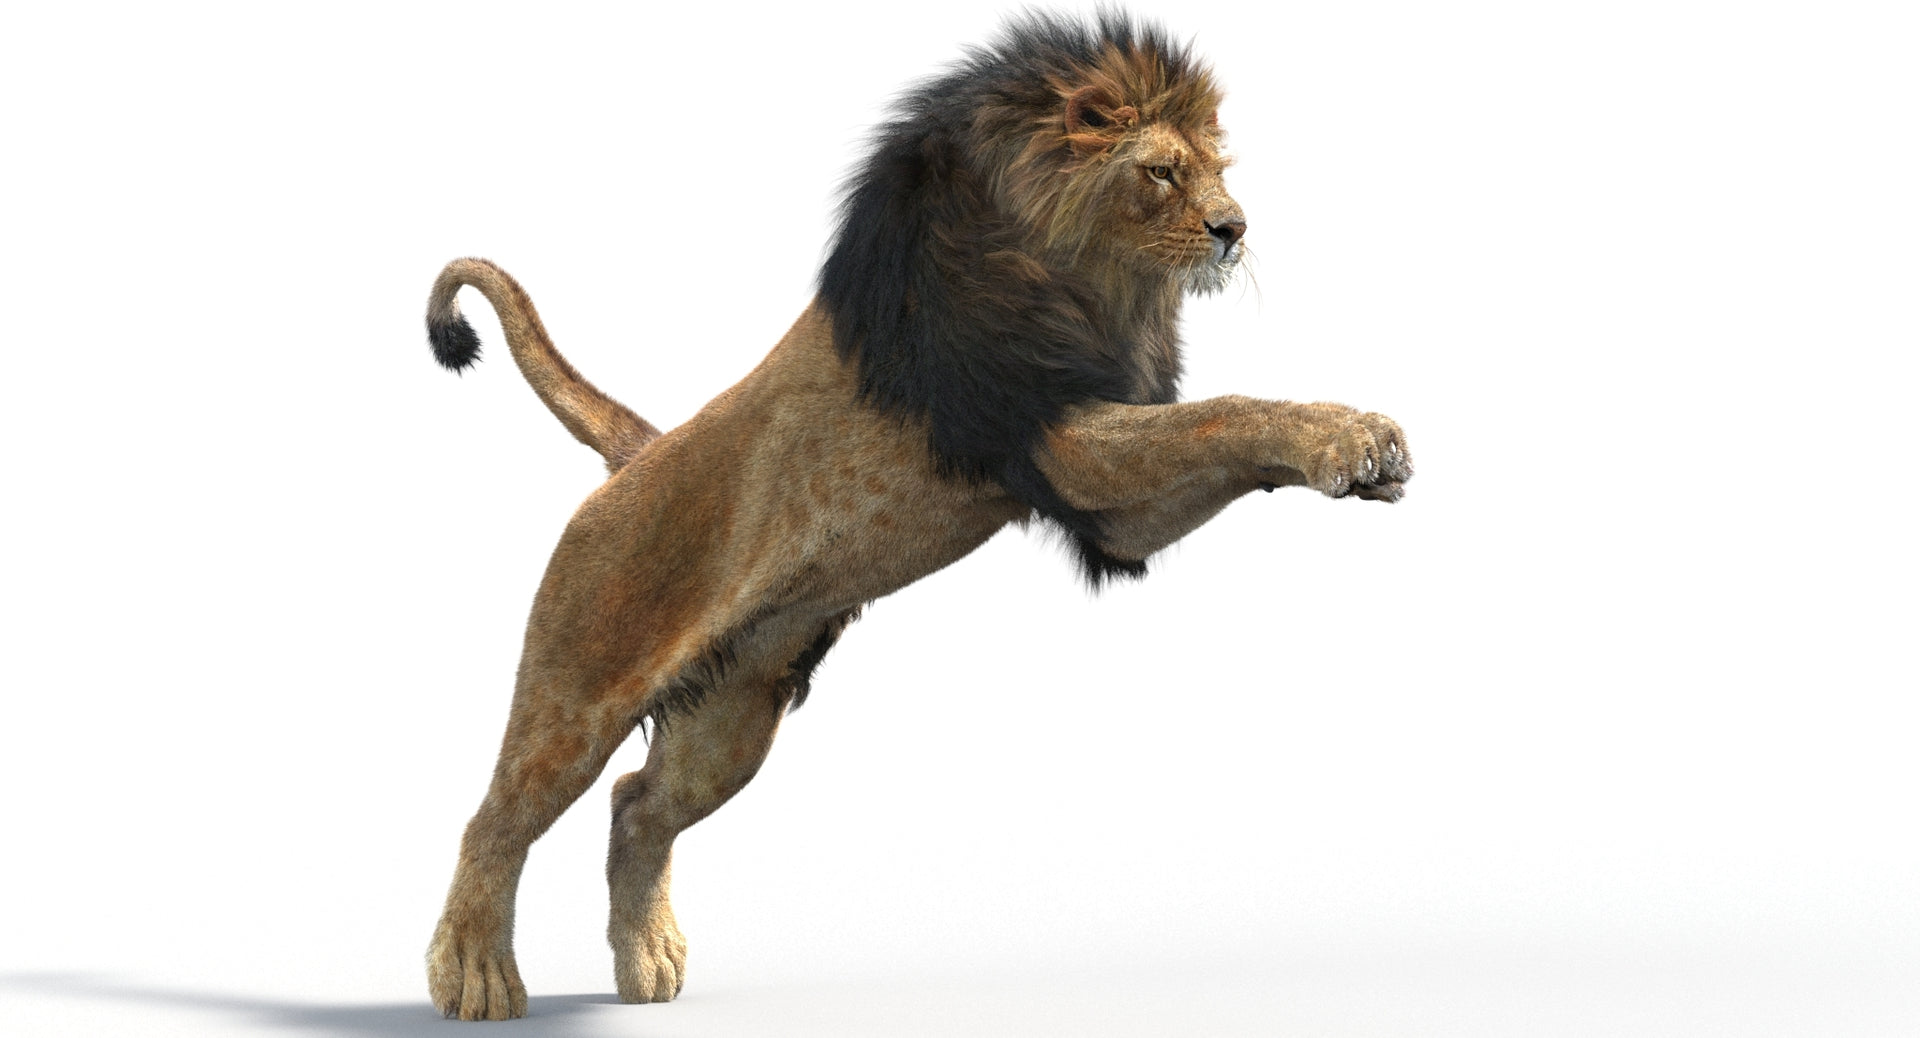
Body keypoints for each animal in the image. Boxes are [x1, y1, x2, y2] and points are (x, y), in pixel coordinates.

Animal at [420, 11, 1411, 1021]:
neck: (1091, 271)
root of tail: (639, 455)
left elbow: (1219, 433)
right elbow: (1226, 412)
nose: (1234, 231)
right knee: (496, 819)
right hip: (581, 684)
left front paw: (1359, 458)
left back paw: (648, 961)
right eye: (1162, 171)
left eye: (1219, 170)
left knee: (635, 803)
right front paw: (1349, 436)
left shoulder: (1103, 500)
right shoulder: (1051, 434)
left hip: (734, 715)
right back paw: (477, 978)